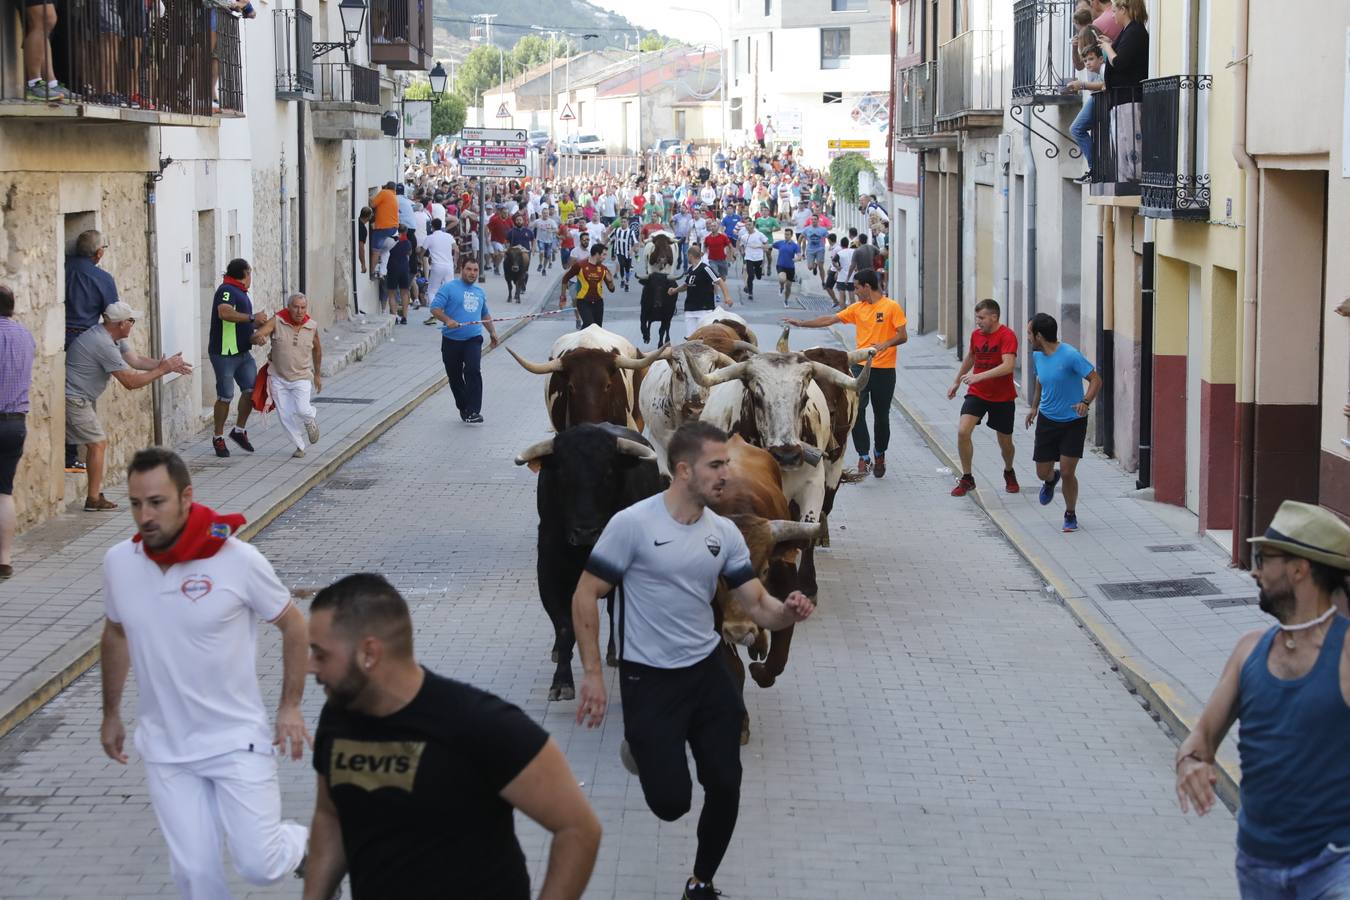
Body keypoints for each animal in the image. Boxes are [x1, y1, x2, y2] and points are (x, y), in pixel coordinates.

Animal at [515, 423, 664, 701]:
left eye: (608, 473)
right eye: (563, 474)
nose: (585, 532)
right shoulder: (548, 574)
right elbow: (565, 627)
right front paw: (562, 682)